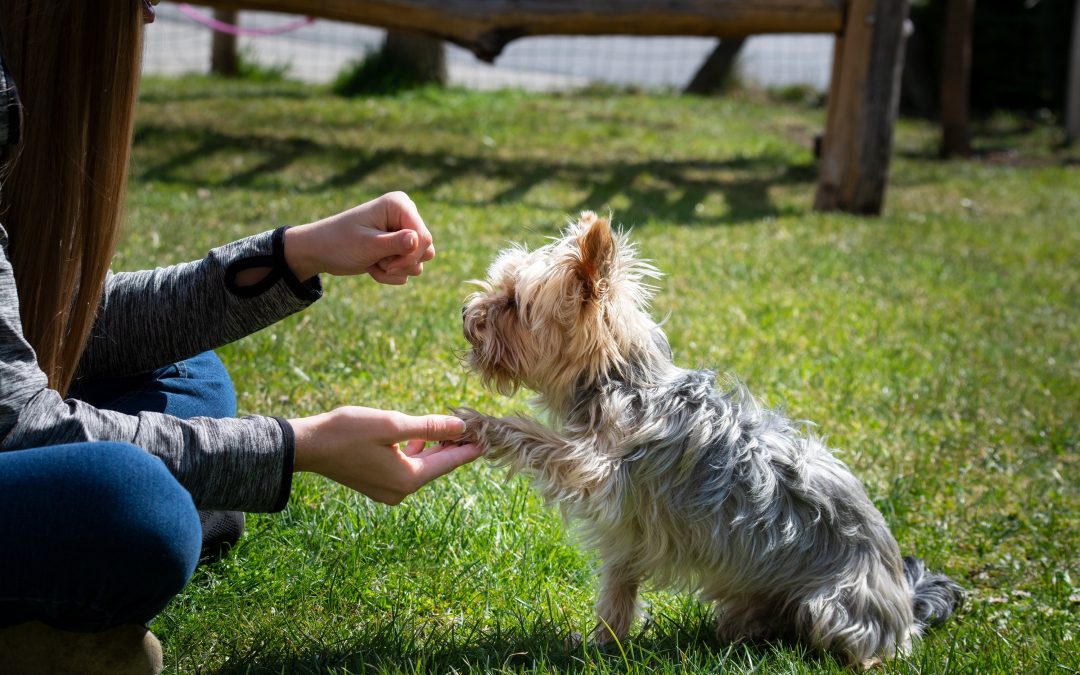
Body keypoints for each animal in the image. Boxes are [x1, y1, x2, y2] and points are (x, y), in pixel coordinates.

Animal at [455, 211, 963, 669]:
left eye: (512, 303)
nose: (465, 313)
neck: (621, 380)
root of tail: (905, 603)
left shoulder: (596, 467)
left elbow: (537, 438)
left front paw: (480, 423)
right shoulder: (629, 528)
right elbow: (619, 586)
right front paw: (604, 643)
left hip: (834, 606)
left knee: (862, 647)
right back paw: (748, 635)